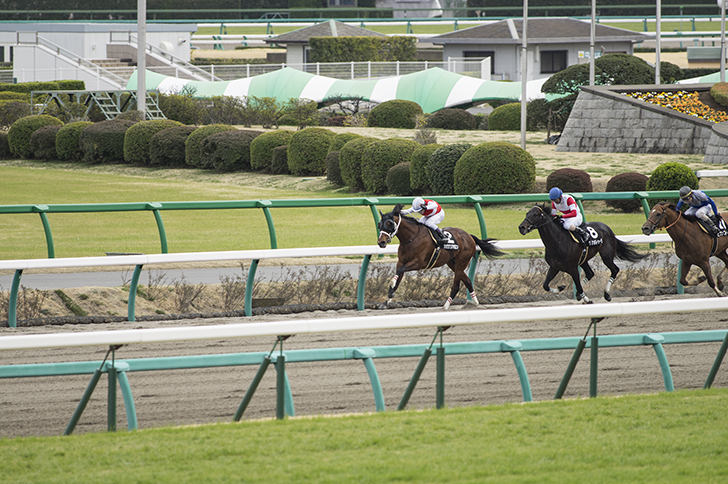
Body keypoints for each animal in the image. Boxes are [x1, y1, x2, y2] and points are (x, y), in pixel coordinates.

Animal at [516, 203, 644, 302]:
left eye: (535, 215)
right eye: (527, 214)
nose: (521, 227)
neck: (558, 241)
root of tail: (608, 229)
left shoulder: (573, 268)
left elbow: (578, 284)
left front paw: (587, 299)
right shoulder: (554, 267)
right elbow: (545, 285)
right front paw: (562, 287)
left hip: (606, 256)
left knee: (615, 270)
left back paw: (607, 294)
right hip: (584, 260)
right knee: (590, 273)